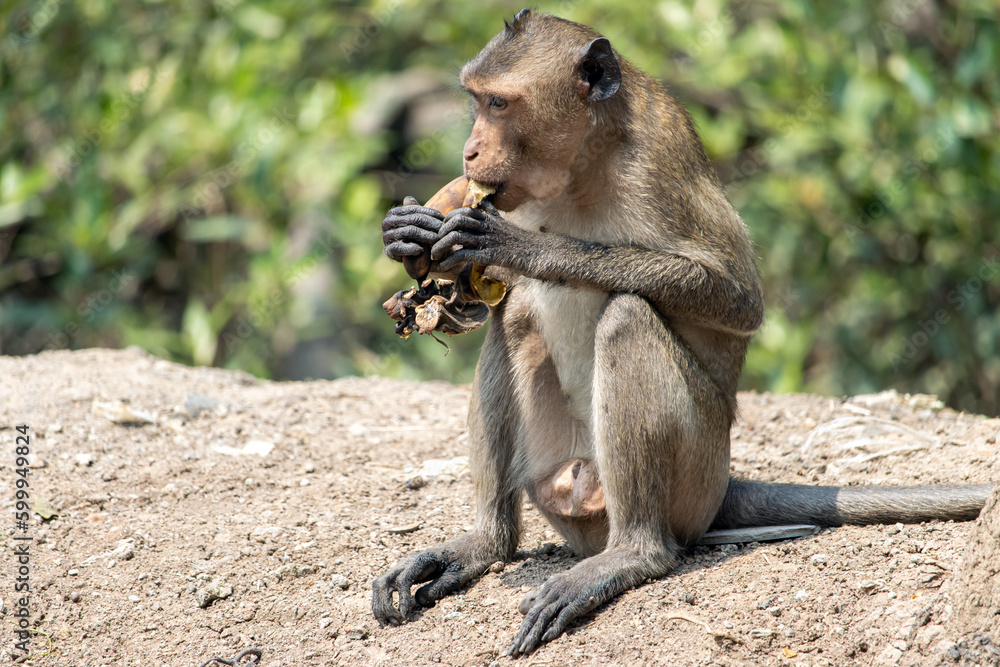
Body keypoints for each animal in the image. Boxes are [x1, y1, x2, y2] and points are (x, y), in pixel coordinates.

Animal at [374, 10, 993, 656]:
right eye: (475, 100)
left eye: (497, 103)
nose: (469, 152)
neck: (585, 162)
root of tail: (723, 484)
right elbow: (484, 296)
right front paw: (412, 236)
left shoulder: (656, 168)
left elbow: (739, 299)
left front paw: (524, 247)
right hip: (560, 480)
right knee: (513, 319)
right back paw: (486, 544)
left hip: (694, 474)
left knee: (625, 317)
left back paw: (632, 555)